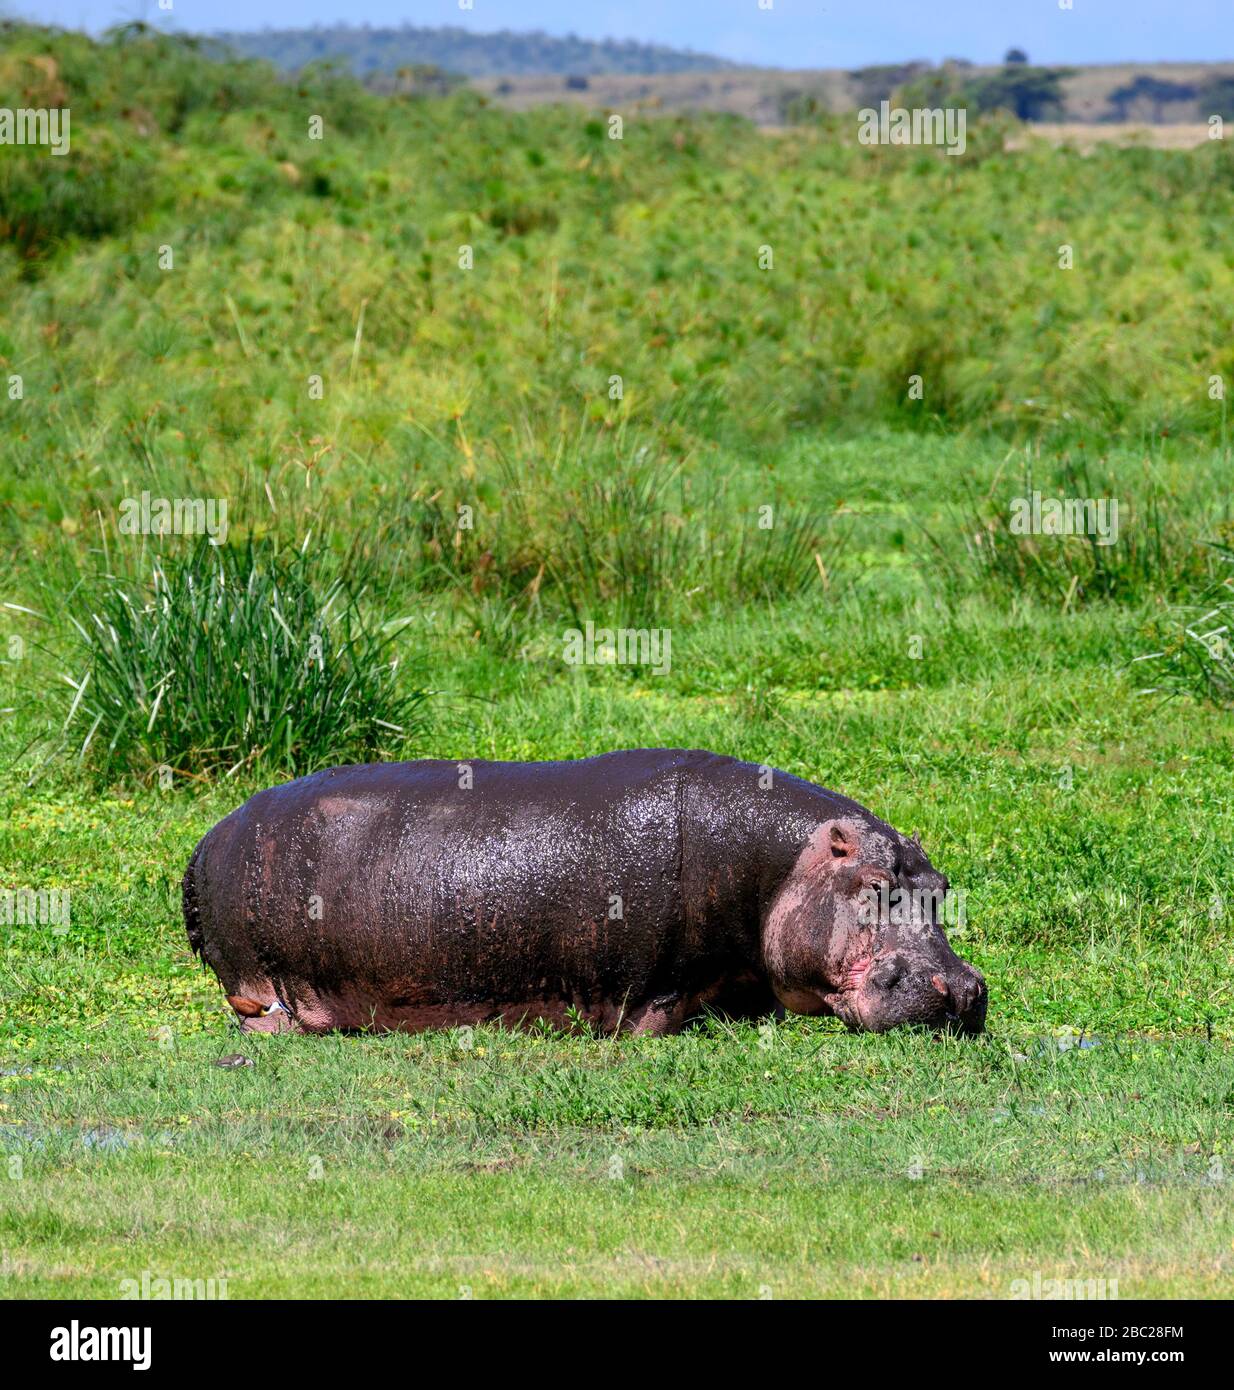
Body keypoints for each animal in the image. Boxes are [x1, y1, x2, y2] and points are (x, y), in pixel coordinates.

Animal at [183, 749, 987, 1037]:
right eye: (875, 886)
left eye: (941, 886)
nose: (962, 988)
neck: (785, 865)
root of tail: (209, 839)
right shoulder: (654, 985)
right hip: (263, 981)